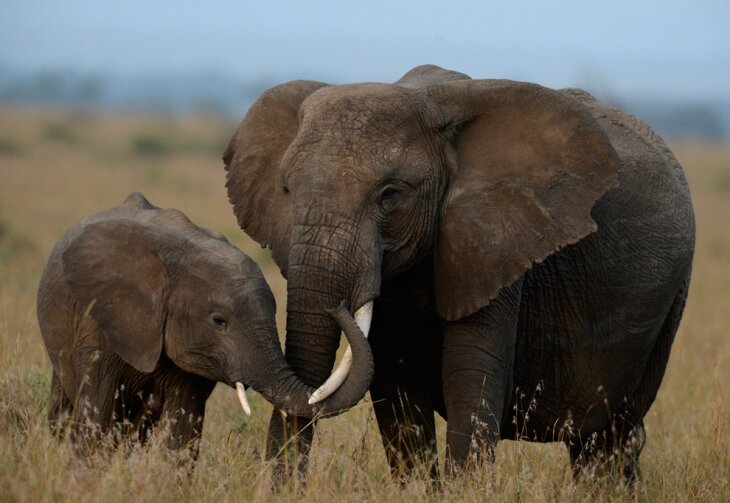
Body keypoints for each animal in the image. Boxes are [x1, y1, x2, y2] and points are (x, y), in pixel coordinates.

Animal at [223, 65, 692, 482]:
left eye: (390, 195)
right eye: (286, 190)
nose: (286, 486)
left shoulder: (495, 245)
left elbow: (471, 383)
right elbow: (397, 390)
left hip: (668, 306)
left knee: (614, 437)